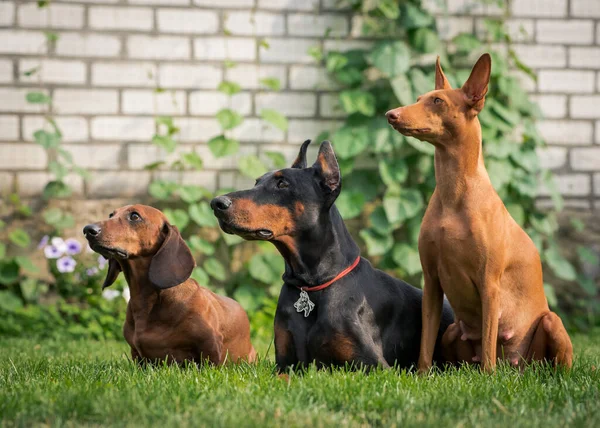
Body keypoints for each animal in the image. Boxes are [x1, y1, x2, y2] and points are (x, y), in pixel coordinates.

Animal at [384, 55, 572, 372]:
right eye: (418, 98)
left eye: (437, 101)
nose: (391, 114)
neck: (453, 194)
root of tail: (517, 366)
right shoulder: (431, 281)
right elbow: (425, 344)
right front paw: (421, 376)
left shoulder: (489, 284)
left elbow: (487, 344)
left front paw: (488, 377)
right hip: (452, 331)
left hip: (551, 322)